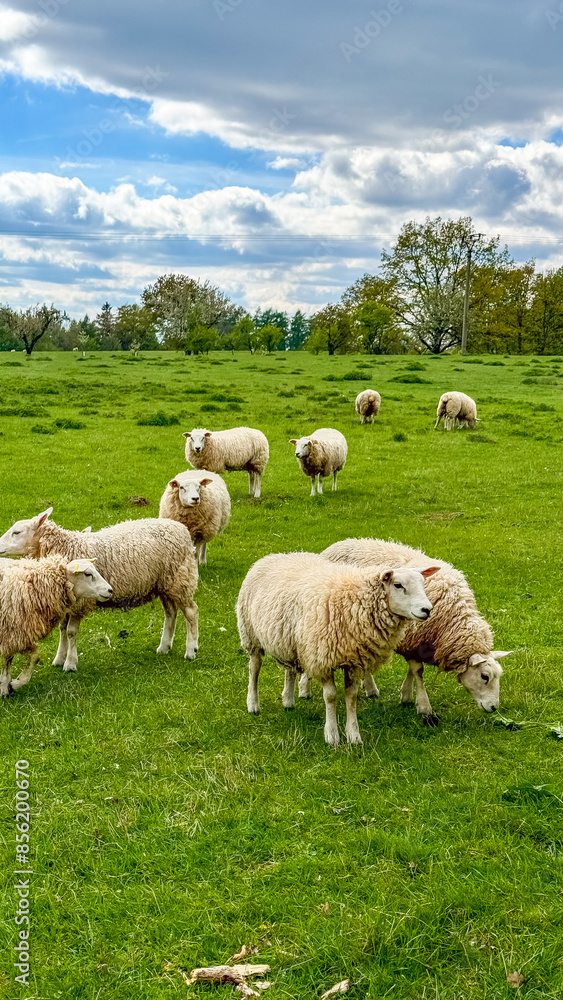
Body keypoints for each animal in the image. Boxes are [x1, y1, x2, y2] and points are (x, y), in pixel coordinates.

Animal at [0, 508, 200, 672]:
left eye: (16, 532)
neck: (65, 547)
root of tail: (181, 528)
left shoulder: (79, 603)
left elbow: (71, 632)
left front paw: (70, 663)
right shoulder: (66, 601)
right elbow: (62, 630)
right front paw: (59, 658)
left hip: (181, 579)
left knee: (191, 611)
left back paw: (191, 650)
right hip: (164, 584)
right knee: (171, 613)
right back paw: (164, 647)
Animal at [0, 560, 112, 700]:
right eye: (87, 574)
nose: (110, 590)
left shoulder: (12, 633)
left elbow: (12, 659)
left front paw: (6, 686)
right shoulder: (13, 632)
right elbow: (32, 657)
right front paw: (13, 684)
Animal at [236, 552, 438, 748]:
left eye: (422, 583)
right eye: (398, 585)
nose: (427, 609)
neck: (355, 601)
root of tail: (273, 556)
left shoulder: (355, 661)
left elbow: (351, 697)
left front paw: (354, 736)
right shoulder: (323, 659)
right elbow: (331, 697)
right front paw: (332, 736)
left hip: (291, 641)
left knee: (290, 669)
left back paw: (288, 700)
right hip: (251, 635)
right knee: (254, 668)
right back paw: (253, 704)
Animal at [322, 536, 512, 724]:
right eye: (484, 676)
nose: (494, 707)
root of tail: (339, 543)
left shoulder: (417, 643)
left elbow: (412, 671)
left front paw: (406, 695)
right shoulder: (412, 638)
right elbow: (418, 671)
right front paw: (424, 707)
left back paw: (370, 688)